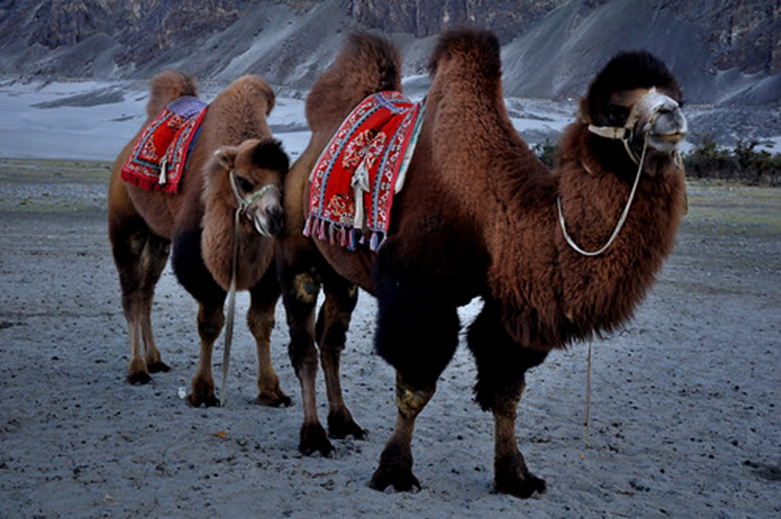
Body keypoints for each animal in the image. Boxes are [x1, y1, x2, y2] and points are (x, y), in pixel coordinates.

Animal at [108, 70, 291, 408]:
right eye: (243, 181)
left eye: (284, 183)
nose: (275, 218)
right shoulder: (198, 263)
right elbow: (210, 323)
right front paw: (203, 391)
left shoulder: (268, 273)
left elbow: (261, 322)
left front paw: (271, 391)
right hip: (126, 224)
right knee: (131, 295)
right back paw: (137, 369)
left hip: (159, 239)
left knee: (146, 292)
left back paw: (155, 359)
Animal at [279, 29, 688, 498]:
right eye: (617, 108)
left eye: (678, 96)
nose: (672, 116)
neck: (492, 210)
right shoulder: (418, 289)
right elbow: (416, 385)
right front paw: (395, 470)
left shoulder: (511, 303)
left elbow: (506, 387)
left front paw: (515, 475)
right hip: (297, 251)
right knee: (304, 345)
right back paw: (314, 436)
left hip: (340, 271)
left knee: (331, 341)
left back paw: (344, 423)